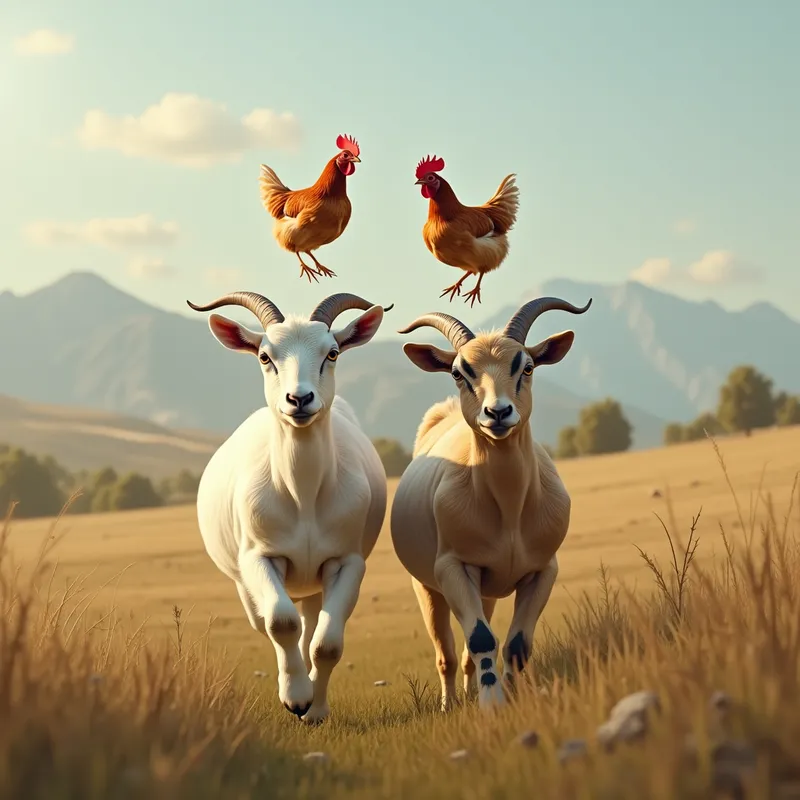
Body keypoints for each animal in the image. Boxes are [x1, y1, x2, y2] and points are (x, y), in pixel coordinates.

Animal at [187, 291, 391, 724]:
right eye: (265, 356)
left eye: (332, 352)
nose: (299, 399)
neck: (303, 496)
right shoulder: (259, 557)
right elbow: (280, 621)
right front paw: (295, 697)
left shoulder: (346, 561)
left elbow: (326, 643)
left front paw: (314, 709)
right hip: (245, 583)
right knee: (269, 621)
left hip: (315, 581)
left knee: (312, 623)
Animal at [390, 296, 591, 710]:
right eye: (458, 372)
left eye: (526, 366)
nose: (497, 413)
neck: (510, 511)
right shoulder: (454, 568)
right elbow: (481, 638)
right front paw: (491, 703)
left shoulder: (542, 571)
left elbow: (516, 643)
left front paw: (512, 696)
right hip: (429, 588)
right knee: (448, 654)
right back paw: (451, 703)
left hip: (486, 591)